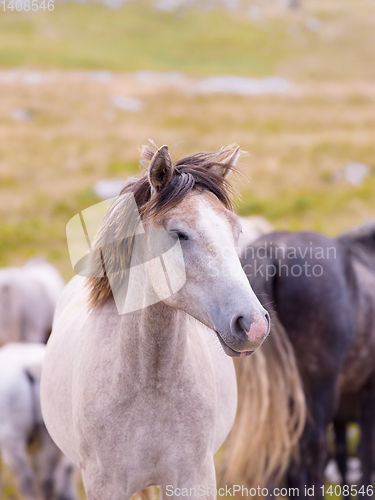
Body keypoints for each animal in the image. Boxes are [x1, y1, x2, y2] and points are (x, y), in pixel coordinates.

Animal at [0, 342, 77, 500]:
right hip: (49, 435)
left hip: (11, 440)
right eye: (70, 471)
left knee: (28, 481)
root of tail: (29, 365)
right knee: (47, 479)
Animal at [41, 144, 270, 500]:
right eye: (178, 234)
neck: (148, 385)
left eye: (237, 231)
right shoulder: (105, 485)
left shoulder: (193, 479)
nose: (253, 324)